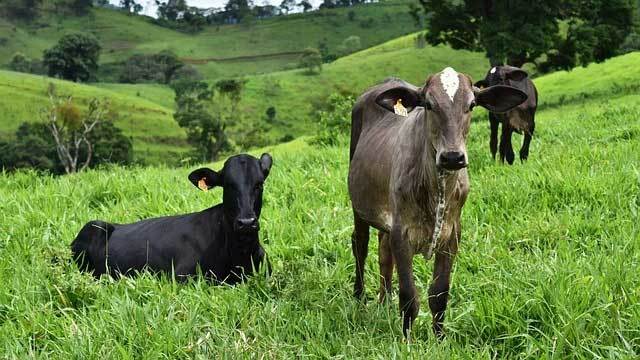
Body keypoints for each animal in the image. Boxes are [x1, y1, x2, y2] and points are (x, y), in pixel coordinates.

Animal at [71, 153, 274, 284]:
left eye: (259, 184)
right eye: (228, 185)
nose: (246, 223)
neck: (241, 255)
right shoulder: (182, 276)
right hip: (93, 227)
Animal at [350, 67, 524, 338]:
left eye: (471, 105)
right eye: (430, 105)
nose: (453, 157)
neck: (436, 189)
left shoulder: (452, 235)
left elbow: (439, 294)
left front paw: (440, 338)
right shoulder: (402, 234)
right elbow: (409, 297)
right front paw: (407, 341)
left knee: (383, 253)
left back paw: (384, 300)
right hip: (359, 207)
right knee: (360, 245)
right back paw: (359, 297)